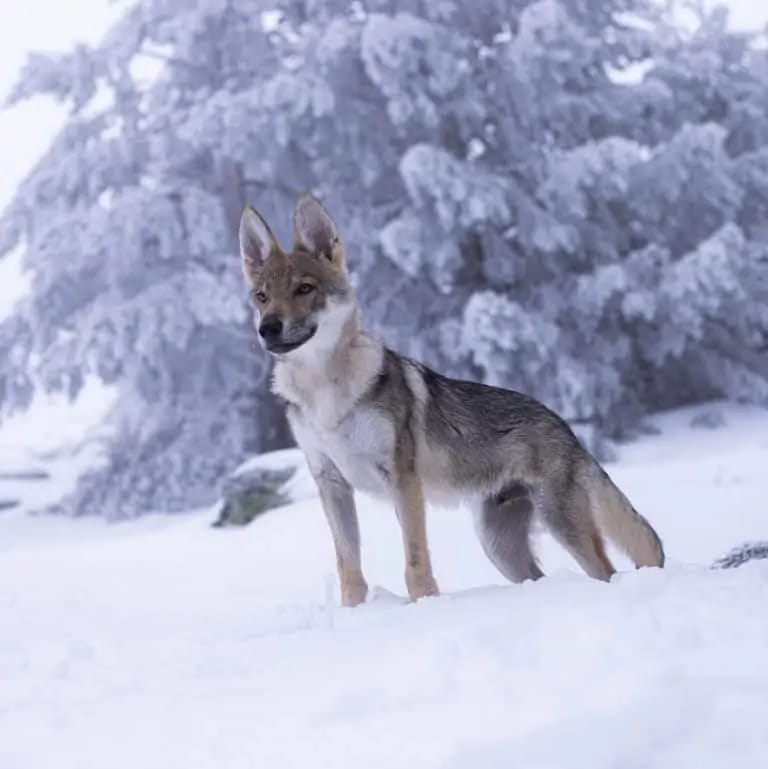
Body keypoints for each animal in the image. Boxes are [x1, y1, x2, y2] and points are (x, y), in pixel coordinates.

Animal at [240, 192, 664, 608]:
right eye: (262, 296)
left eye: (304, 289)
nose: (268, 328)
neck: (324, 392)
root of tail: (565, 426)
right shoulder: (331, 483)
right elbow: (349, 568)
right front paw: (355, 613)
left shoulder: (403, 481)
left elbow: (415, 564)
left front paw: (424, 607)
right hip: (500, 547)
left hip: (560, 527)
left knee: (607, 571)